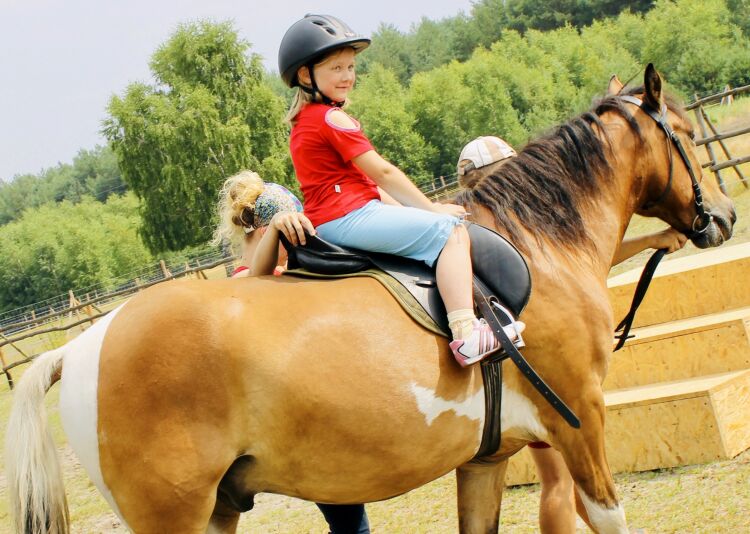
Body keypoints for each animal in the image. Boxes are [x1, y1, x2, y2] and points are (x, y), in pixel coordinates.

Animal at [5, 65, 736, 534]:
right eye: (685, 135)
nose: (725, 216)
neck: (536, 244)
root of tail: (81, 345)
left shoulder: (488, 459)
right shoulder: (579, 419)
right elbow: (608, 514)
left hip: (218, 510)